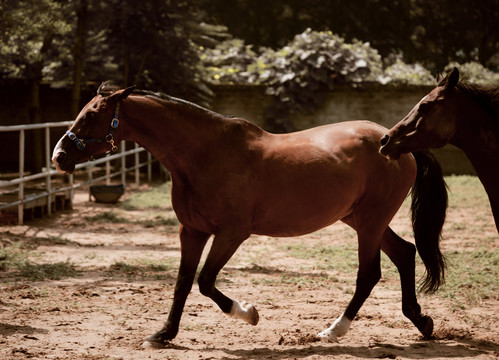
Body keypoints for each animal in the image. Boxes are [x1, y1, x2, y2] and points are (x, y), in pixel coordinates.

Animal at [52, 83, 448, 348]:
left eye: (91, 115)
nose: (59, 156)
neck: (206, 154)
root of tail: (392, 141)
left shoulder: (232, 233)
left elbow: (205, 282)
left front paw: (248, 313)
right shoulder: (191, 231)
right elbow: (183, 282)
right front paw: (164, 334)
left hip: (368, 222)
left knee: (370, 274)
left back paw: (334, 330)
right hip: (362, 219)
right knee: (404, 253)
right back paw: (422, 322)